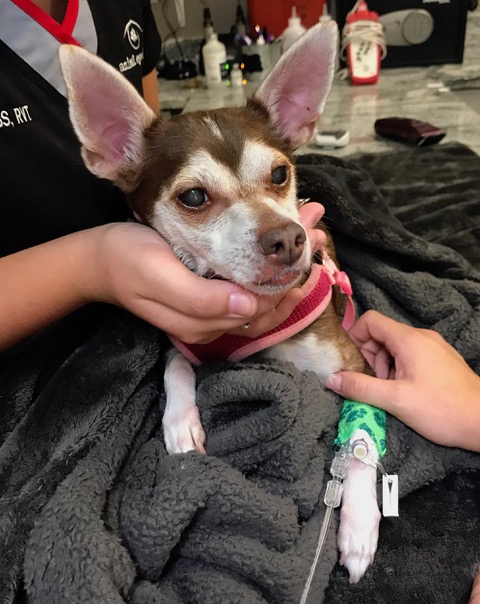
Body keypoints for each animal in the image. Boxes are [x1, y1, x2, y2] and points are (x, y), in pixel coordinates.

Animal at [60, 21, 380, 584]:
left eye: (280, 175)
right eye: (193, 197)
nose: (289, 238)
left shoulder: (355, 368)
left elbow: (361, 442)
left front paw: (360, 525)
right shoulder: (180, 334)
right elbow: (175, 365)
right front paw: (180, 421)